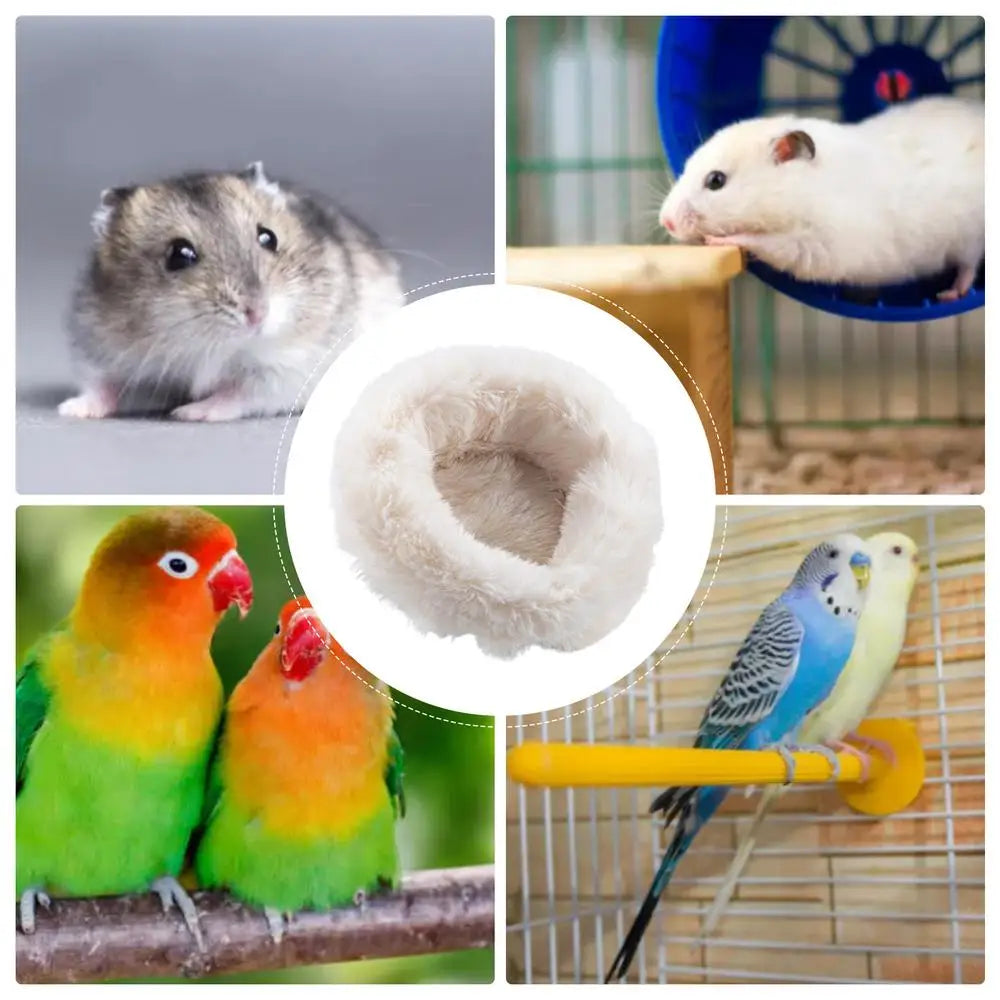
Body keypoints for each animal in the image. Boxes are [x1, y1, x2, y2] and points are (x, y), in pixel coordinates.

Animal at [59, 162, 403, 421]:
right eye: (179, 255)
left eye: (268, 238)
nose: (257, 314)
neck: (211, 347)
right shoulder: (99, 347)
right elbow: (101, 385)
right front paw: (71, 410)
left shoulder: (290, 366)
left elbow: (240, 392)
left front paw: (189, 412)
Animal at [659, 96, 984, 300]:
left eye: (716, 181)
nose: (666, 222)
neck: (802, 190)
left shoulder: (818, 245)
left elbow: (766, 243)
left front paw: (718, 239)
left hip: (968, 237)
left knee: (968, 266)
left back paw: (949, 294)